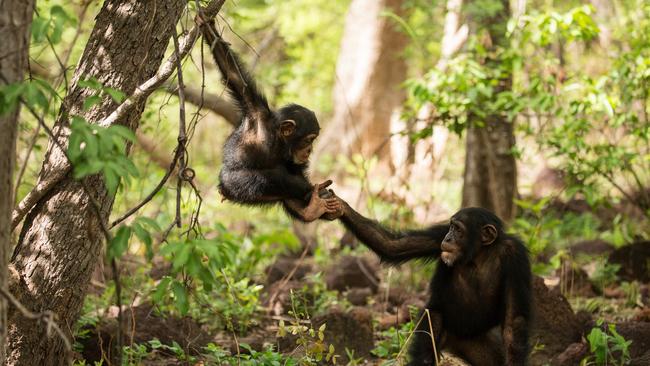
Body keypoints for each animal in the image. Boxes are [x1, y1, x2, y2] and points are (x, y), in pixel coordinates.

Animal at [199, 18, 340, 222]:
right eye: (309, 140)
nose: (309, 150)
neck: (278, 140)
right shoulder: (256, 113)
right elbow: (234, 74)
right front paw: (206, 25)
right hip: (232, 184)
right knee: (273, 178)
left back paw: (311, 210)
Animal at [334, 202, 528, 364]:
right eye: (451, 227)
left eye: (458, 229)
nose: (448, 238)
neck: (479, 253)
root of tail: (455, 344)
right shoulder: (439, 234)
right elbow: (394, 245)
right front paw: (339, 205)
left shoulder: (515, 256)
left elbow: (514, 320)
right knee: (432, 324)